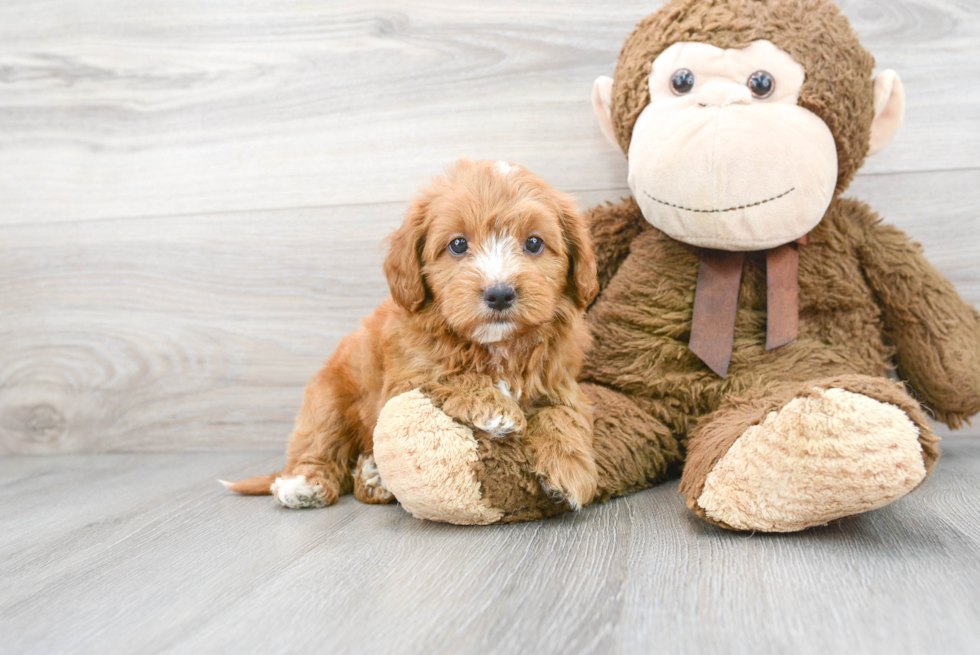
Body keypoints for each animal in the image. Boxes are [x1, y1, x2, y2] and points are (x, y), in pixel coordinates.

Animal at [225, 160, 600, 512]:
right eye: (458, 245)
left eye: (534, 243)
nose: (499, 293)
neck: (495, 346)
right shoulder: (406, 378)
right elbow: (448, 375)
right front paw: (495, 407)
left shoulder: (561, 381)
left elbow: (563, 413)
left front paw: (570, 470)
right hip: (327, 399)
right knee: (318, 443)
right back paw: (305, 485)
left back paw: (372, 477)